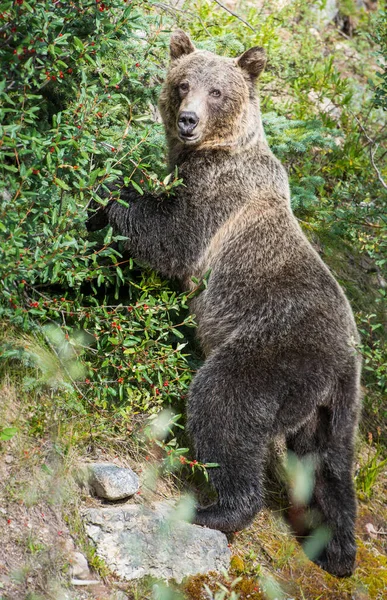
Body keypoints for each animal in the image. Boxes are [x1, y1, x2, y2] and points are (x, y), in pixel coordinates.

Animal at [88, 31, 364, 576]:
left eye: (216, 92)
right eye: (183, 83)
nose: (187, 120)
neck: (209, 151)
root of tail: (343, 358)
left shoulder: (220, 195)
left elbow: (173, 237)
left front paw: (106, 189)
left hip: (274, 349)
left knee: (225, 403)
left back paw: (218, 509)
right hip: (334, 407)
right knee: (329, 464)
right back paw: (336, 550)